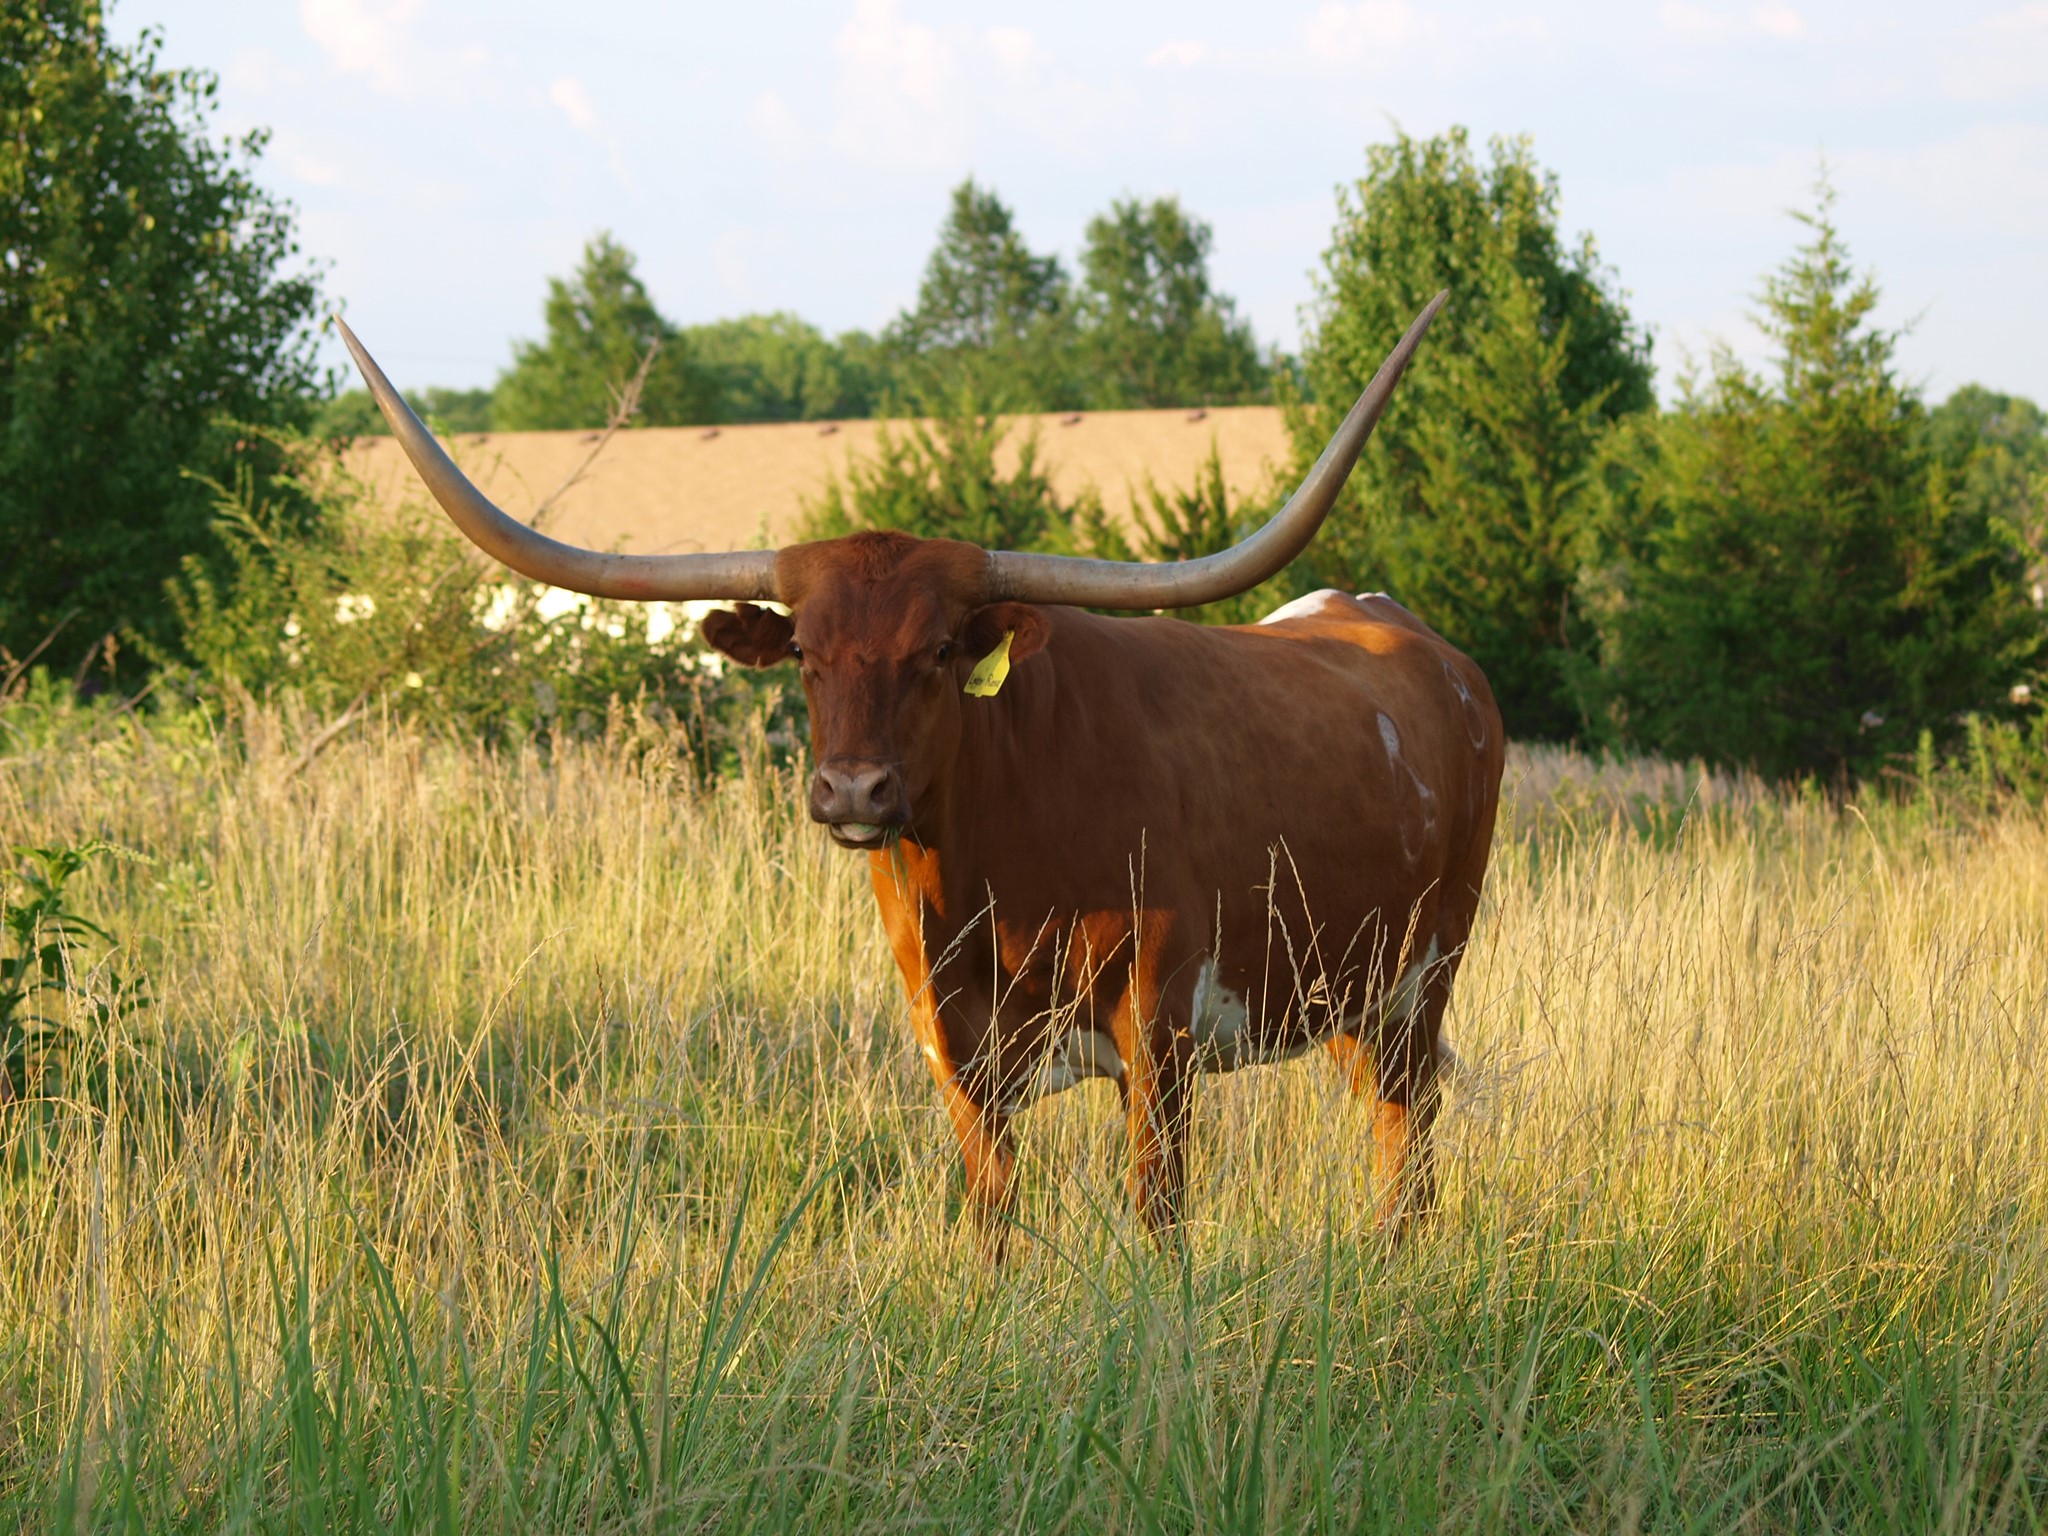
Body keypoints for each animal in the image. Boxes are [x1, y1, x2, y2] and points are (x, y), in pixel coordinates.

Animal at [337, 292, 1503, 1253]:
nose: (854, 793)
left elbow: (1157, 1215)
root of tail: (1400, 629)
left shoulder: (1159, 1032)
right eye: (804, 653)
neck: (994, 876)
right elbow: (991, 1219)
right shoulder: (954, 1051)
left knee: (1409, 1138)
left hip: (1424, 973)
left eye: (940, 650)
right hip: (1347, 995)